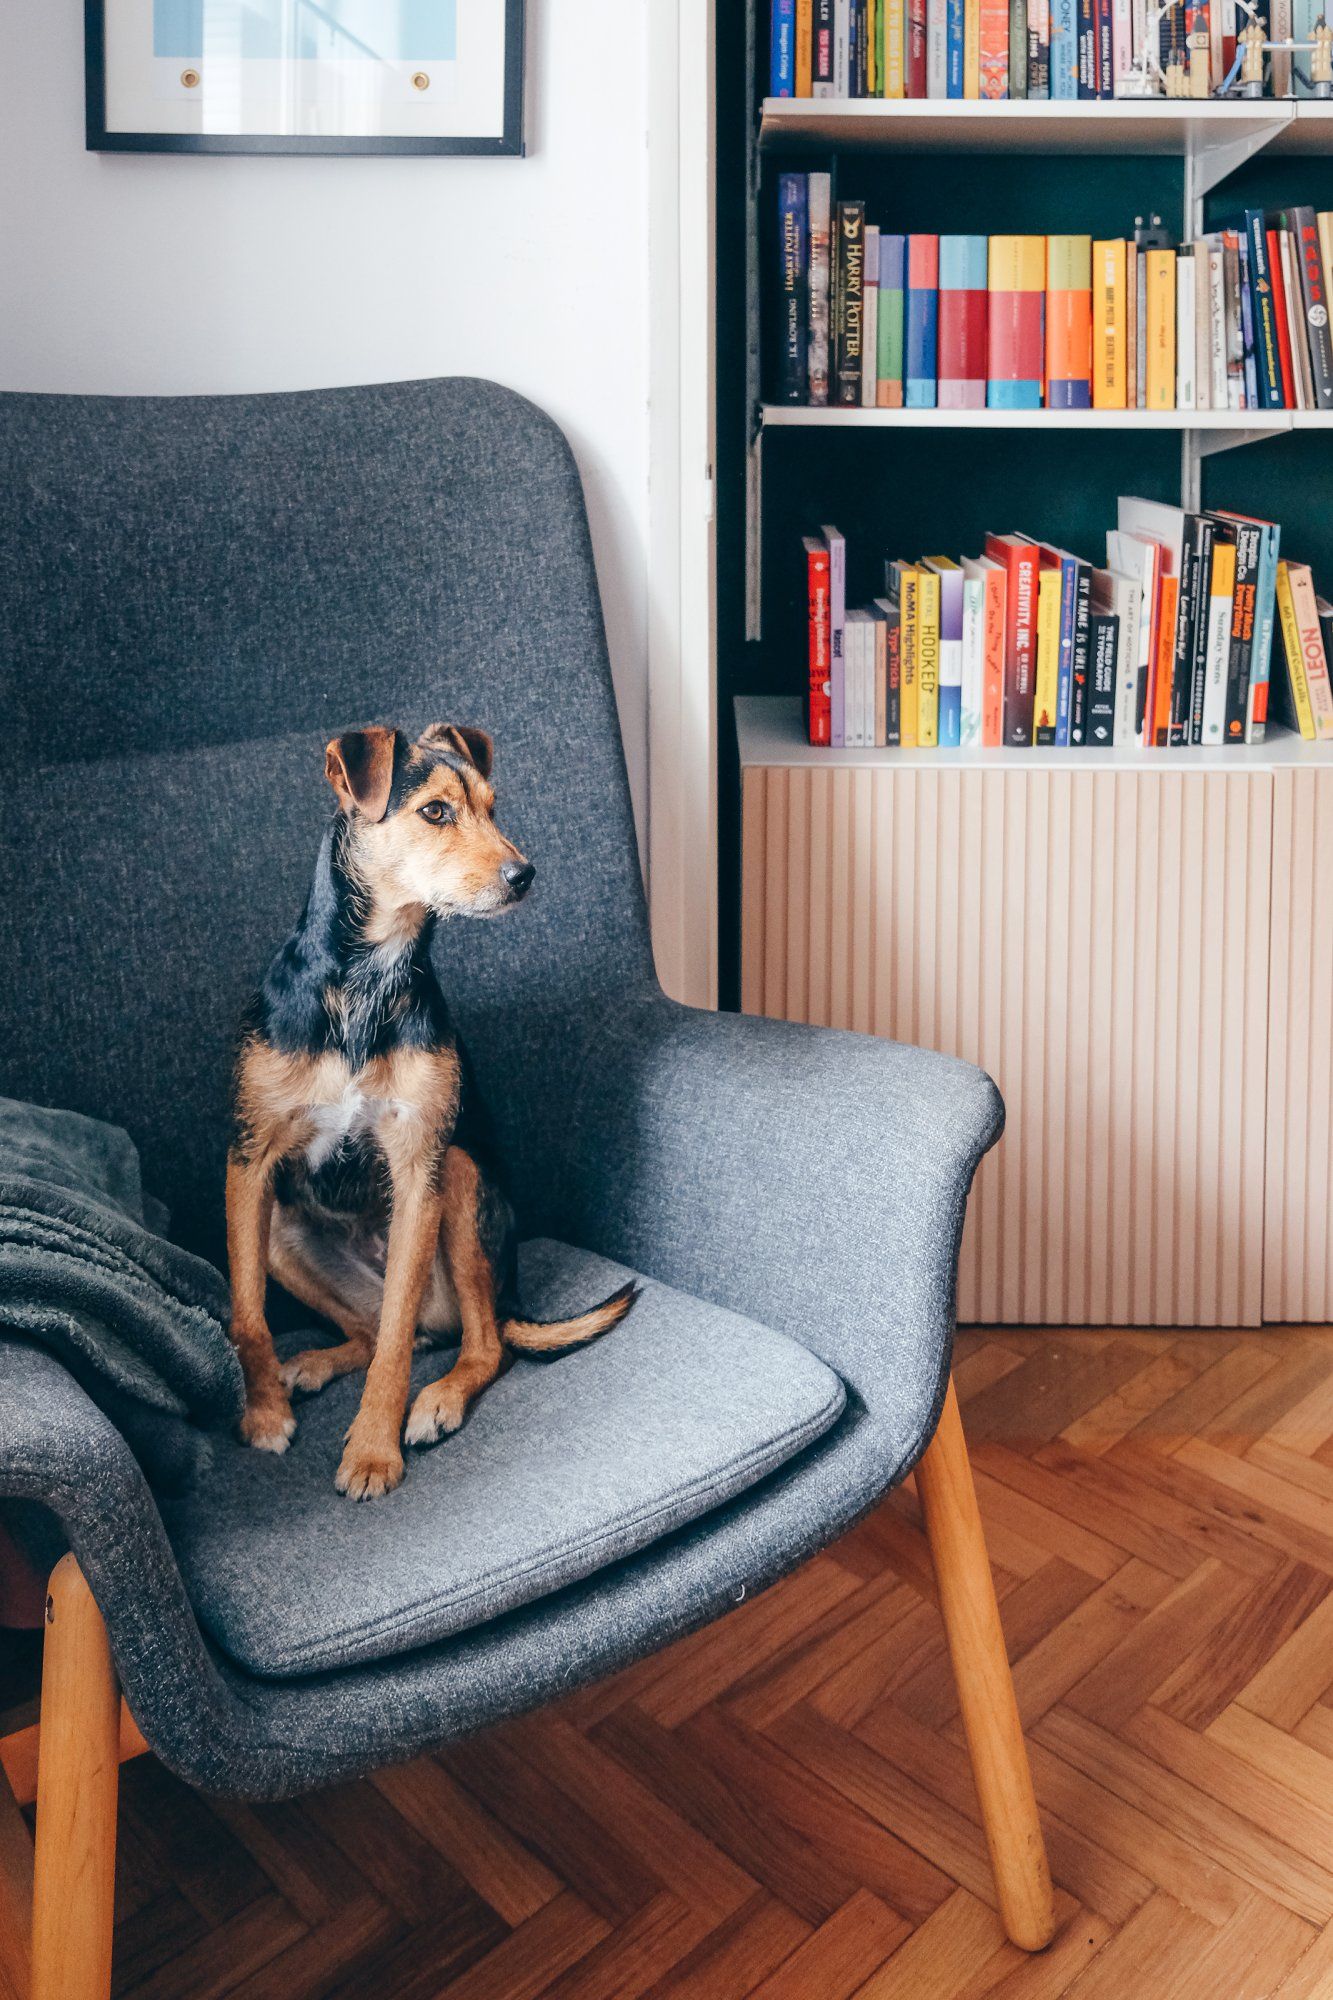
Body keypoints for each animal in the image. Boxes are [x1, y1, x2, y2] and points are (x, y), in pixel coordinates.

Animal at [222, 728, 632, 1496]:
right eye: (436, 812)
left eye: (493, 807)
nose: (524, 875)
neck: (367, 979)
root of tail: (512, 1293)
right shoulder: (248, 1163)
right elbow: (247, 1315)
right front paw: (261, 1414)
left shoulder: (421, 1171)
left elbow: (394, 1346)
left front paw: (372, 1450)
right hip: (281, 1231)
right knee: (384, 1331)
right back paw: (311, 1364)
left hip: (462, 1183)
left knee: (475, 1342)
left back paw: (438, 1397)